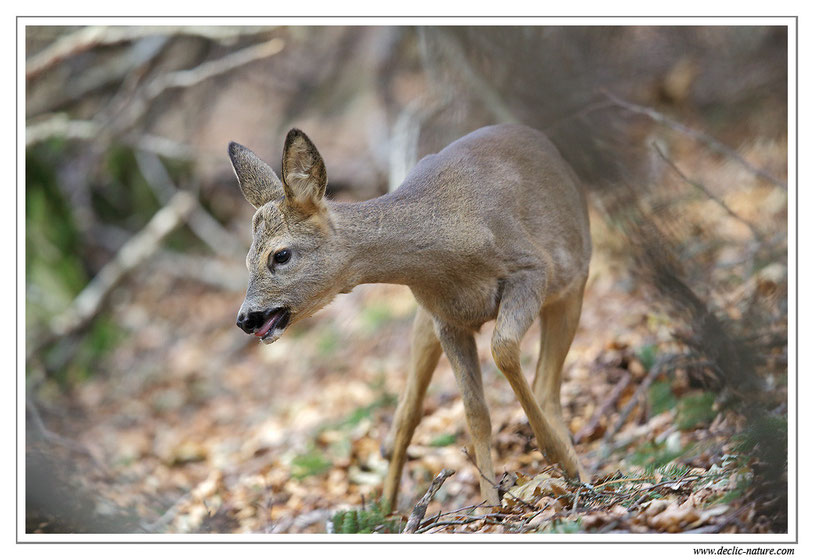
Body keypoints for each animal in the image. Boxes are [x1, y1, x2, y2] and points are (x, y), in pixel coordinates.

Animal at [230, 124, 592, 516]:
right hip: (424, 320)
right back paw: (385, 511)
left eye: (280, 255)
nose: (246, 319)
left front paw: (553, 455)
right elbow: (476, 414)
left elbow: (504, 349)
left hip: (573, 282)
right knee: (408, 410)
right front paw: (489, 505)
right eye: (247, 260)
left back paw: (575, 470)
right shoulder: (445, 318)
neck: (450, 244)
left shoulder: (532, 268)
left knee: (547, 385)